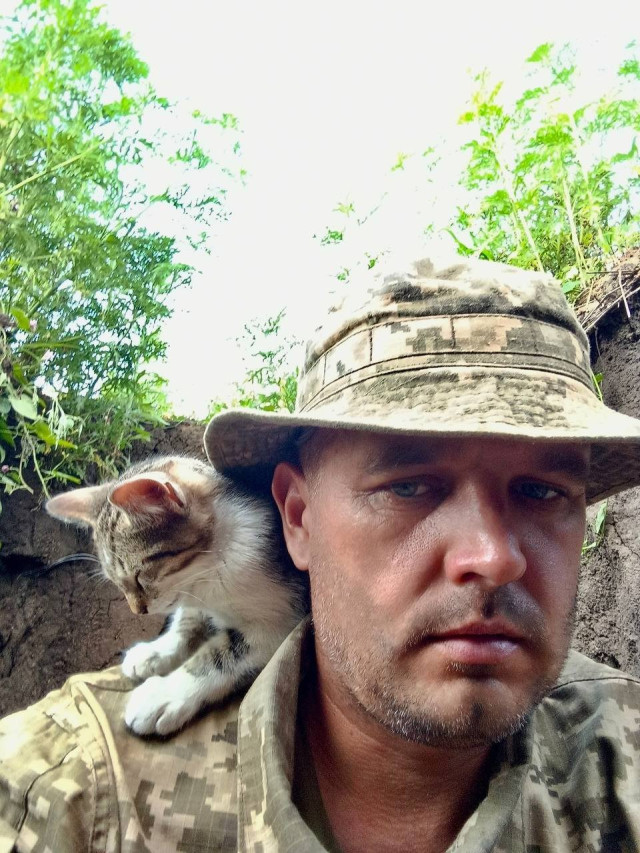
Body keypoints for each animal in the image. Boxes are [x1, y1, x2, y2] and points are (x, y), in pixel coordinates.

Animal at [46, 455, 309, 736]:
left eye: (138, 577)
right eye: (117, 583)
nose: (138, 610)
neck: (207, 573)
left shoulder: (281, 623)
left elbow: (221, 655)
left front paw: (163, 695)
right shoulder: (192, 597)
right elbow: (186, 622)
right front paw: (155, 653)